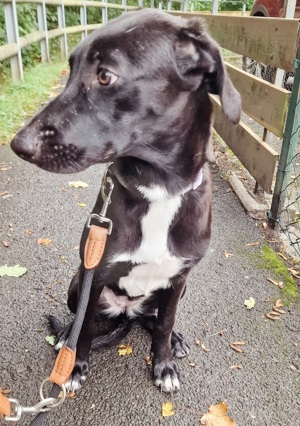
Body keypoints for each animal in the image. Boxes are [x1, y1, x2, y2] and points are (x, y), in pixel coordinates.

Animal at [11, 9, 241, 392]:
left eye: (105, 75)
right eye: (70, 70)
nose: (18, 145)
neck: (159, 190)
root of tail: (127, 313)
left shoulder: (178, 280)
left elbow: (163, 324)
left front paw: (163, 363)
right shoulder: (95, 275)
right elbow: (85, 330)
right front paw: (74, 367)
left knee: (153, 319)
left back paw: (173, 339)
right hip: (77, 282)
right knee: (80, 323)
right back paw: (65, 339)